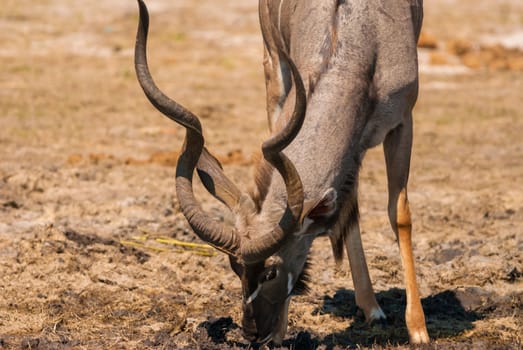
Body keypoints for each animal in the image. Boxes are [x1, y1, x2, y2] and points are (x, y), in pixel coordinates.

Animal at [134, 0, 430, 344]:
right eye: (235, 268)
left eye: (271, 271)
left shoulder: (402, 121)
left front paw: (418, 330)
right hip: (273, 71)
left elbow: (399, 214)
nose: (253, 332)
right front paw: (279, 333)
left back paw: (373, 309)